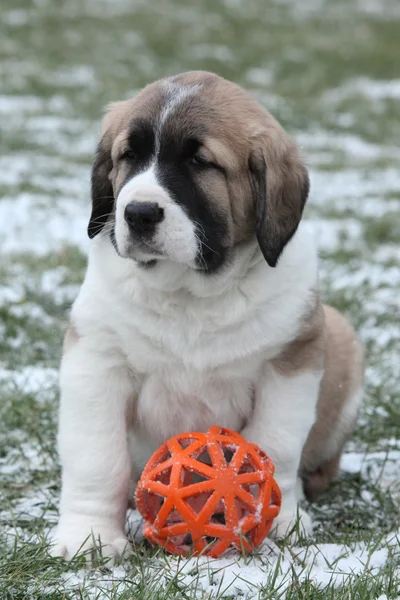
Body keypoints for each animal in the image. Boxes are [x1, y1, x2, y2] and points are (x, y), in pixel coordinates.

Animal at [51, 72, 364, 560]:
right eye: (128, 156)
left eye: (200, 162)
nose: (138, 212)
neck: (190, 294)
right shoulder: (97, 360)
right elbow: (97, 456)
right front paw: (90, 535)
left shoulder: (292, 358)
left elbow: (276, 442)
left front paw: (277, 516)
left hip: (342, 338)